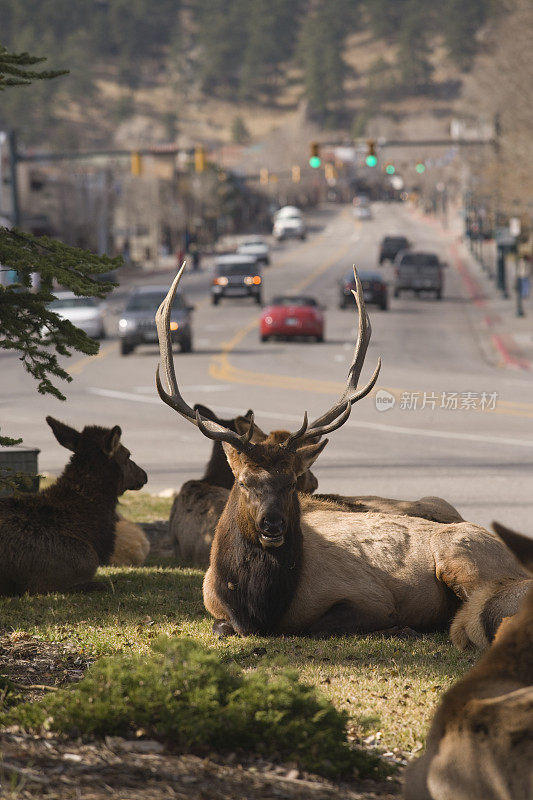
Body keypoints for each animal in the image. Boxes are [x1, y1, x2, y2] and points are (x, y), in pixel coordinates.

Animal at [156, 266, 528, 648]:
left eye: (290, 483)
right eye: (243, 482)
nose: (272, 525)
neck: (259, 607)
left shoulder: (370, 598)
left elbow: (320, 626)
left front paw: (400, 627)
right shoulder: (214, 608)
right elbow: (222, 626)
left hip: (461, 560)